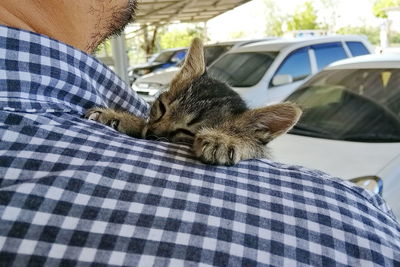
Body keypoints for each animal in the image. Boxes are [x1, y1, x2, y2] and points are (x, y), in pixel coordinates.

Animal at [86, 37, 302, 165]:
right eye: (162, 108)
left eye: (188, 132)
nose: (151, 134)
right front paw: (118, 117)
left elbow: (256, 149)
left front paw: (225, 139)